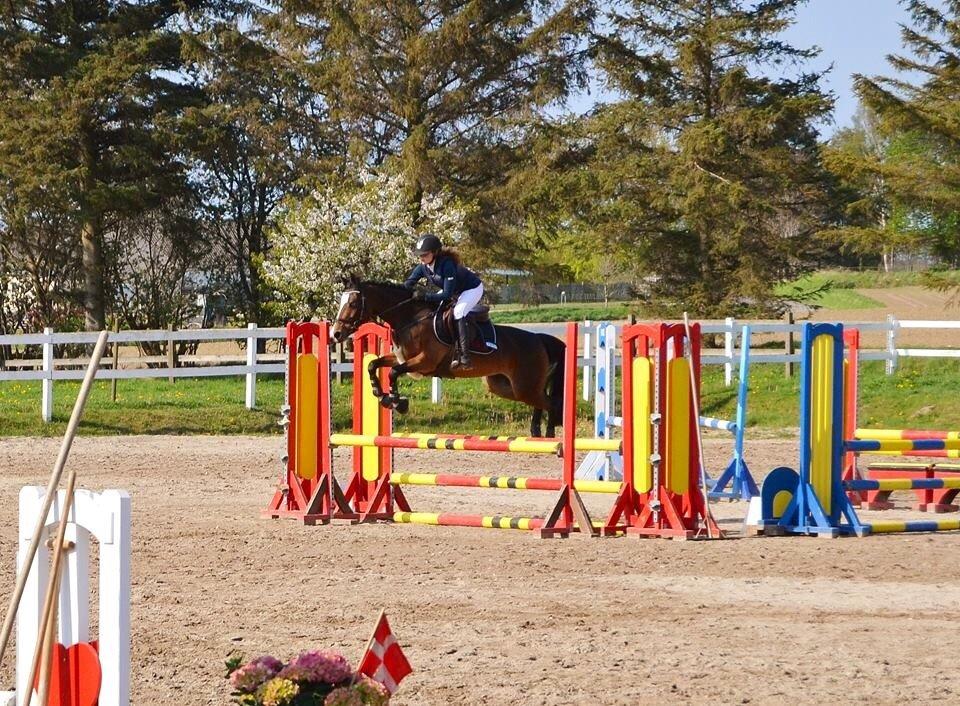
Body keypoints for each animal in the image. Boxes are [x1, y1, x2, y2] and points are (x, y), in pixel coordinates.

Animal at [331, 276, 566, 437]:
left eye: (352, 304)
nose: (336, 334)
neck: (411, 319)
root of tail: (539, 339)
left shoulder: (424, 362)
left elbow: (394, 373)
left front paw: (397, 402)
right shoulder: (402, 358)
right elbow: (373, 364)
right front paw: (381, 394)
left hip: (524, 386)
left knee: (552, 404)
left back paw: (550, 434)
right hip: (505, 387)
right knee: (541, 402)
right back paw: (537, 432)